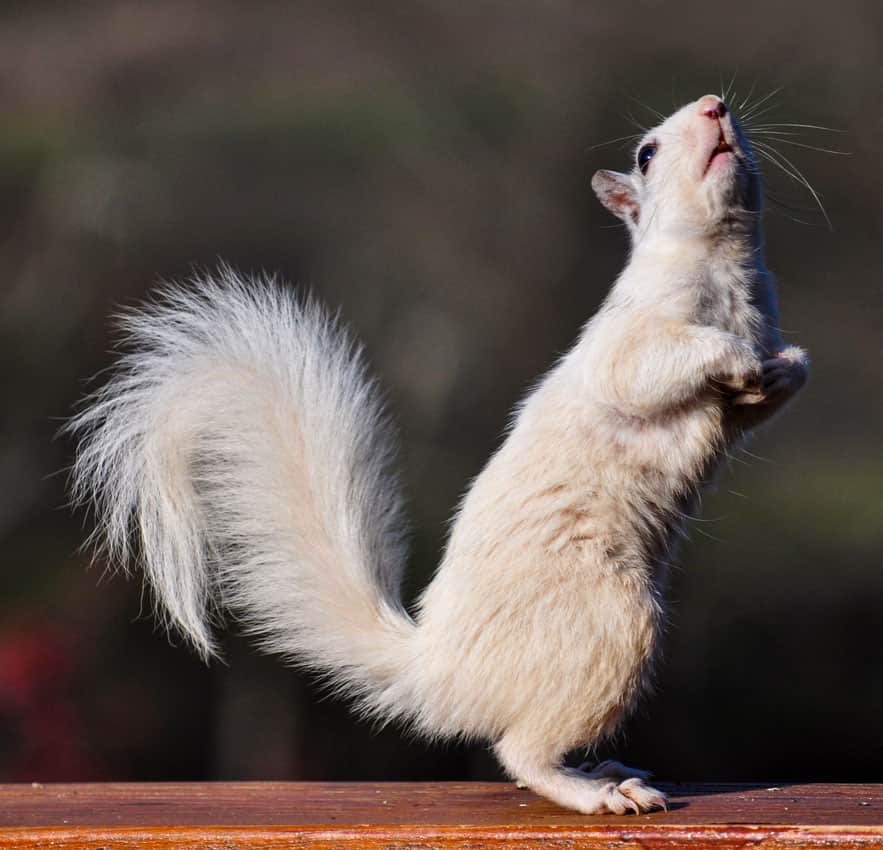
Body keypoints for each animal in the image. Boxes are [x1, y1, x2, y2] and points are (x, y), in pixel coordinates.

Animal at [72, 94, 812, 816]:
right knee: (521, 752)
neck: (723, 269)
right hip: (608, 627)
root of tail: (439, 670)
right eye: (646, 154)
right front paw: (734, 356)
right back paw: (598, 792)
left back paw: (604, 768)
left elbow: (764, 393)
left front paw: (786, 366)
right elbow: (644, 370)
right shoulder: (629, 341)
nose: (715, 105)